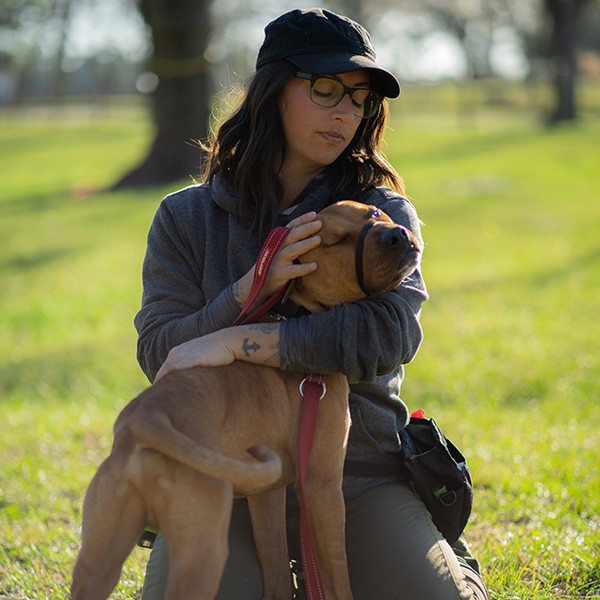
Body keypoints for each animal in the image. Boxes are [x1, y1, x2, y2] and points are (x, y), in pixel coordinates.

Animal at [71, 202, 422, 600]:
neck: (297, 312)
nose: (397, 235)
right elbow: (336, 576)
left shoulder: (266, 493)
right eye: (336, 241)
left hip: (99, 558)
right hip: (203, 550)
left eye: (374, 212)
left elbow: (276, 566)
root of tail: (143, 418)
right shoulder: (322, 485)